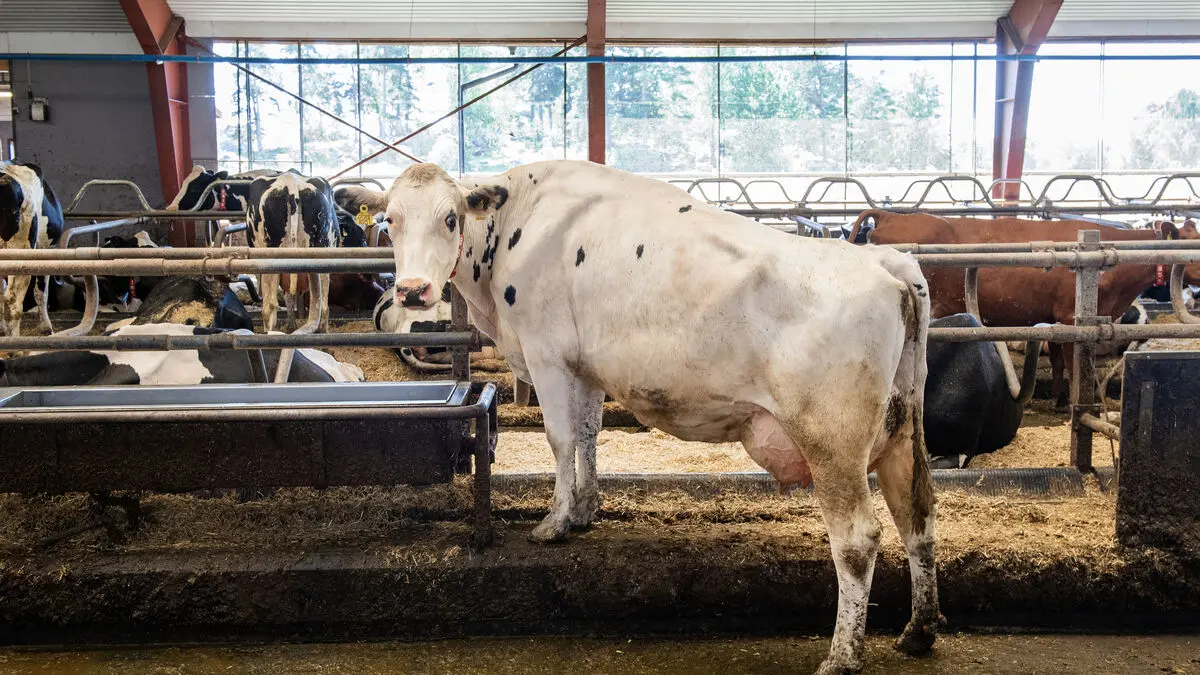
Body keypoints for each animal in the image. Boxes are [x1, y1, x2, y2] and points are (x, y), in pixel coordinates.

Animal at [352, 160, 940, 674]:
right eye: (391, 220)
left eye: (451, 217)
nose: (412, 291)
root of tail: (885, 263)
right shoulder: (584, 366)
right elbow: (588, 434)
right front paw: (585, 508)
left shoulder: (547, 353)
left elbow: (560, 438)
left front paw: (554, 522)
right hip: (903, 429)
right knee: (916, 514)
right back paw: (919, 632)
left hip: (831, 440)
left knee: (858, 539)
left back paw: (842, 656)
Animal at [848, 211, 1200, 409]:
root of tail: (892, 215)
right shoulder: (1073, 317)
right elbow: (1074, 365)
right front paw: (1073, 403)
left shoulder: (1055, 319)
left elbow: (1057, 361)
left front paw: (1058, 398)